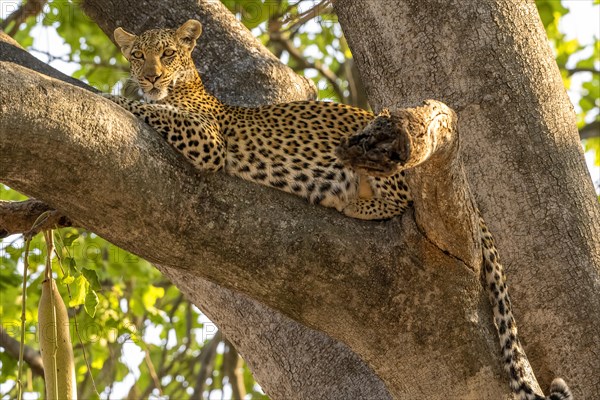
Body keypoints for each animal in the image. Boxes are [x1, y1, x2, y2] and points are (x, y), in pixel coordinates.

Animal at [103, 19, 572, 400]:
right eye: (137, 55)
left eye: (168, 54)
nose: (150, 76)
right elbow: (152, 107)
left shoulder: (208, 139)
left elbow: (149, 110)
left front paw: (110, 95)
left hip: (381, 146)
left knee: (399, 195)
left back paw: (351, 201)